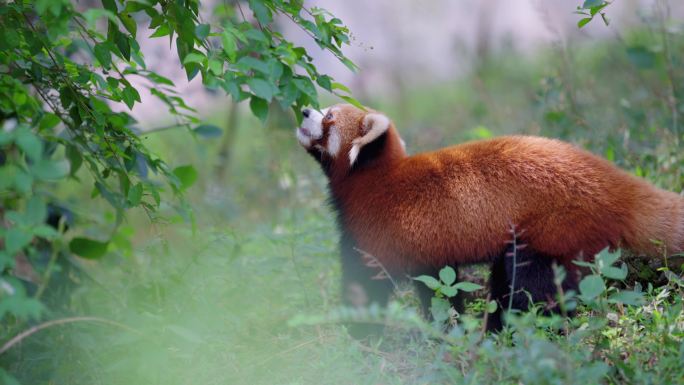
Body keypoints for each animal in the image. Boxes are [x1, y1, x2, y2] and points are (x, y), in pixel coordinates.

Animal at [296, 103, 684, 334]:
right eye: (323, 109)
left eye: (329, 117)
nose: (303, 109)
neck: (374, 179)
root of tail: (609, 178)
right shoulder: (427, 251)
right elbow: (440, 290)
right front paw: (447, 329)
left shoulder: (379, 232)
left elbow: (365, 287)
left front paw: (356, 335)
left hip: (551, 231)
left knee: (535, 288)